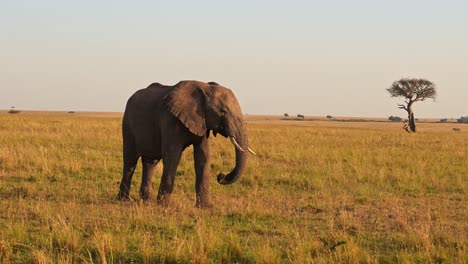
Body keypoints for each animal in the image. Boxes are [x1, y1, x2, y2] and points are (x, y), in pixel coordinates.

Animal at [117, 80, 256, 208]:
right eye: (223, 111)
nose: (220, 176)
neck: (205, 87)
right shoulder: (170, 119)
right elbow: (172, 156)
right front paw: (165, 206)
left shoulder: (202, 123)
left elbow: (203, 156)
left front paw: (205, 207)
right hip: (127, 124)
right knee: (130, 162)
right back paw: (124, 201)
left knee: (150, 163)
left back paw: (147, 200)